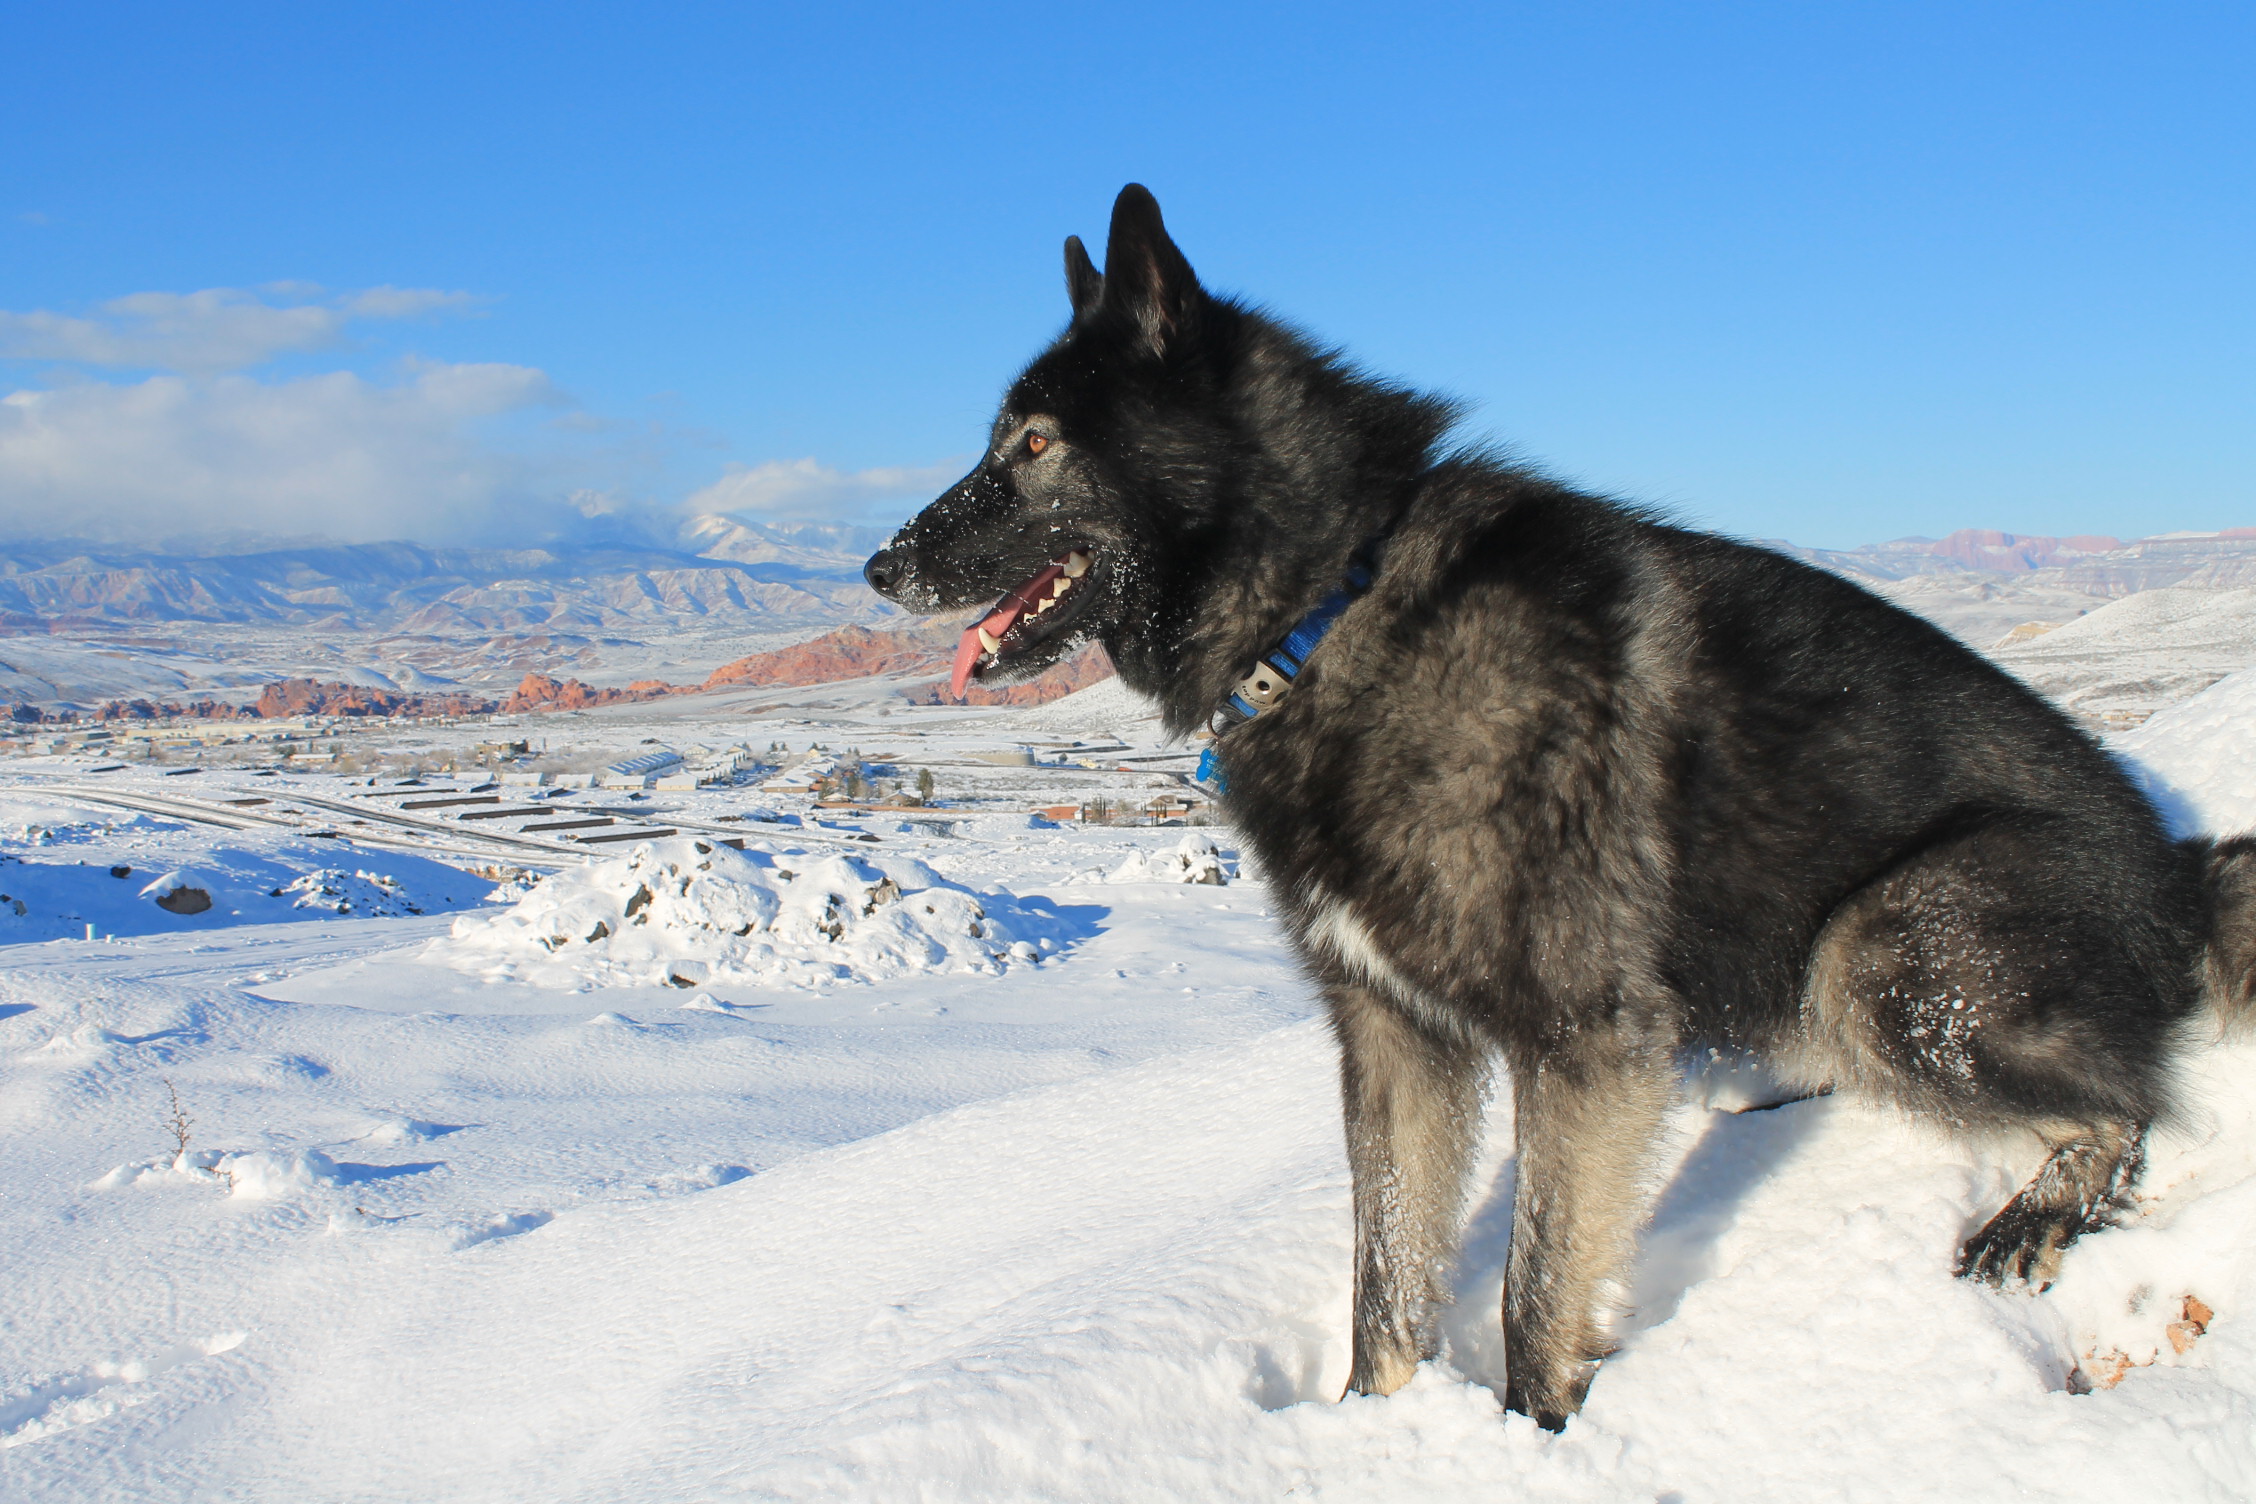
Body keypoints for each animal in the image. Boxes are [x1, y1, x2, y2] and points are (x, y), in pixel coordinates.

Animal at [866, 184, 2256, 1425]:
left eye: (1033, 445)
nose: (880, 566)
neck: (1333, 607)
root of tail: (2180, 871)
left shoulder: (1580, 1041)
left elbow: (1534, 1286)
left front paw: (1534, 1433)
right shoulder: (1394, 1040)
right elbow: (1387, 1276)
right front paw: (1373, 1427)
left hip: (1882, 951)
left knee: (2126, 1106)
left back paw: (2034, 1215)